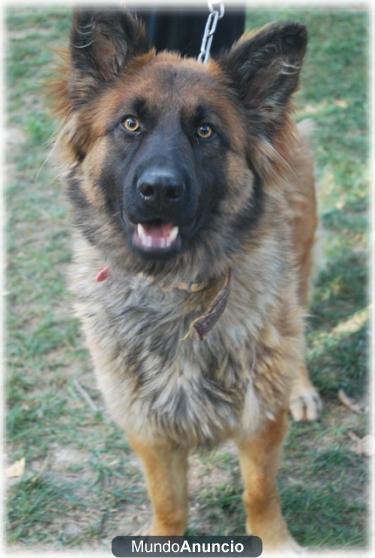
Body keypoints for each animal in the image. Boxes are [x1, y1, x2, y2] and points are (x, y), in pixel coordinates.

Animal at [51, 8, 324, 552]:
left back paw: (301, 389)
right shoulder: (148, 429)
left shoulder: (259, 421)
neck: (174, 294)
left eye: (205, 131)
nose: (159, 190)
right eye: (130, 124)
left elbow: (259, 493)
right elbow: (169, 504)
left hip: (297, 274)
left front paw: (276, 542)